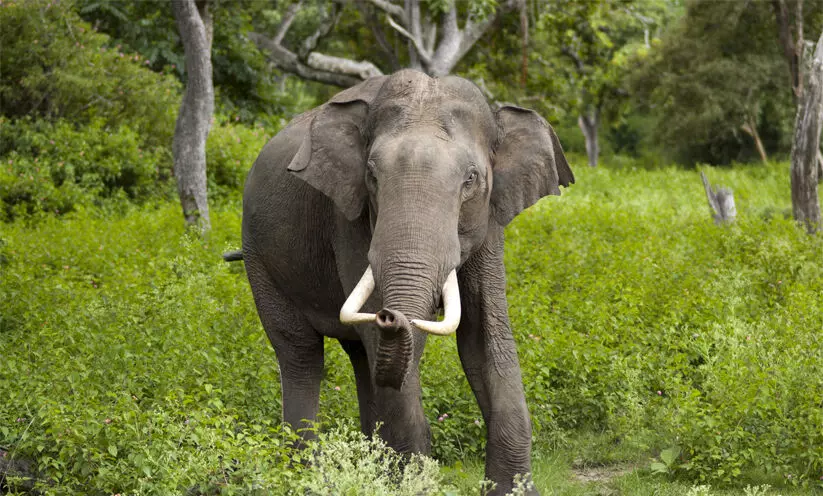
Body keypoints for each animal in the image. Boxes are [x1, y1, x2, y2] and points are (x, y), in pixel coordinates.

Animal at [238, 68, 572, 494]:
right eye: (371, 175)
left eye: (471, 179)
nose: (389, 315)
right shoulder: (349, 217)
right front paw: (408, 484)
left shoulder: (490, 220)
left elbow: (485, 336)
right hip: (258, 256)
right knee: (301, 354)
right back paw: (306, 476)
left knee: (360, 357)